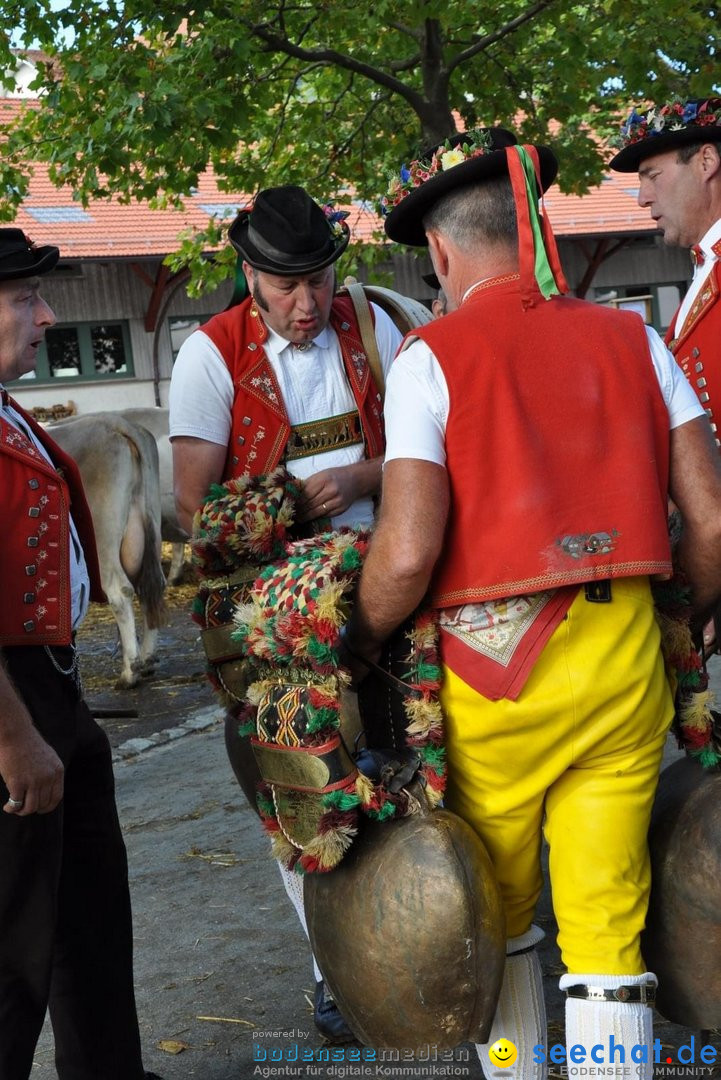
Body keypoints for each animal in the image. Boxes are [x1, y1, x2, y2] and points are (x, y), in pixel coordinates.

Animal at [49, 408, 166, 686]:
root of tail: (115, 422)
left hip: (103, 534)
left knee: (120, 591)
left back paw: (130, 673)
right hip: (150, 524)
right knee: (151, 586)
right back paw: (146, 659)